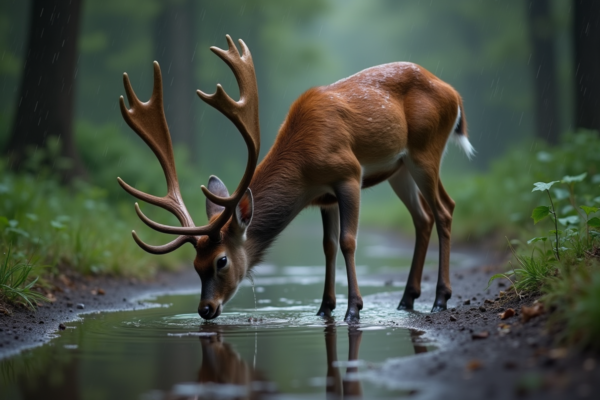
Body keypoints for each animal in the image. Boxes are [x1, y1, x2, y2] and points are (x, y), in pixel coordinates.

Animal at [117, 34, 474, 322]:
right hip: (399, 170)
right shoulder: (325, 198)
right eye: (194, 265)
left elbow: (347, 241)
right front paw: (324, 308)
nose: (205, 309)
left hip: (426, 149)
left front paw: (353, 309)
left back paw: (440, 299)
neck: (305, 170)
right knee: (423, 216)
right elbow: (328, 246)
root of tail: (455, 95)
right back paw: (407, 299)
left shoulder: (348, 173)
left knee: (445, 208)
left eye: (221, 261)